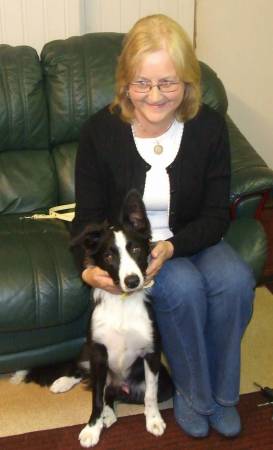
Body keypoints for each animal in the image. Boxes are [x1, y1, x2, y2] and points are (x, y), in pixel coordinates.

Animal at [11, 189, 172, 446]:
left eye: (136, 250)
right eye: (108, 256)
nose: (132, 281)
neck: (123, 303)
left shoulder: (152, 353)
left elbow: (150, 393)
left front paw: (154, 419)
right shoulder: (98, 353)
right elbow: (96, 397)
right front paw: (92, 429)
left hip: (160, 382)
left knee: (115, 393)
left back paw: (110, 411)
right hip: (89, 352)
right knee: (86, 375)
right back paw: (64, 383)